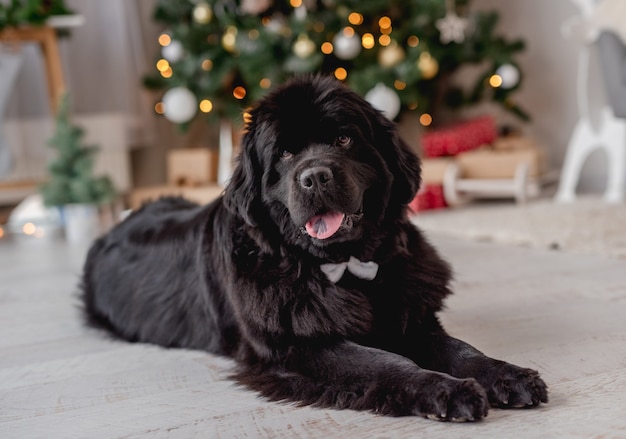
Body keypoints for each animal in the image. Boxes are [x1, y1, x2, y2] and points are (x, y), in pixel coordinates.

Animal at [81, 75, 540, 422]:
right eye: (284, 153)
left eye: (344, 139)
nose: (315, 176)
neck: (344, 265)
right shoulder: (297, 349)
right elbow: (386, 363)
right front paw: (447, 392)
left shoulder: (412, 317)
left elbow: (461, 349)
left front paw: (509, 375)